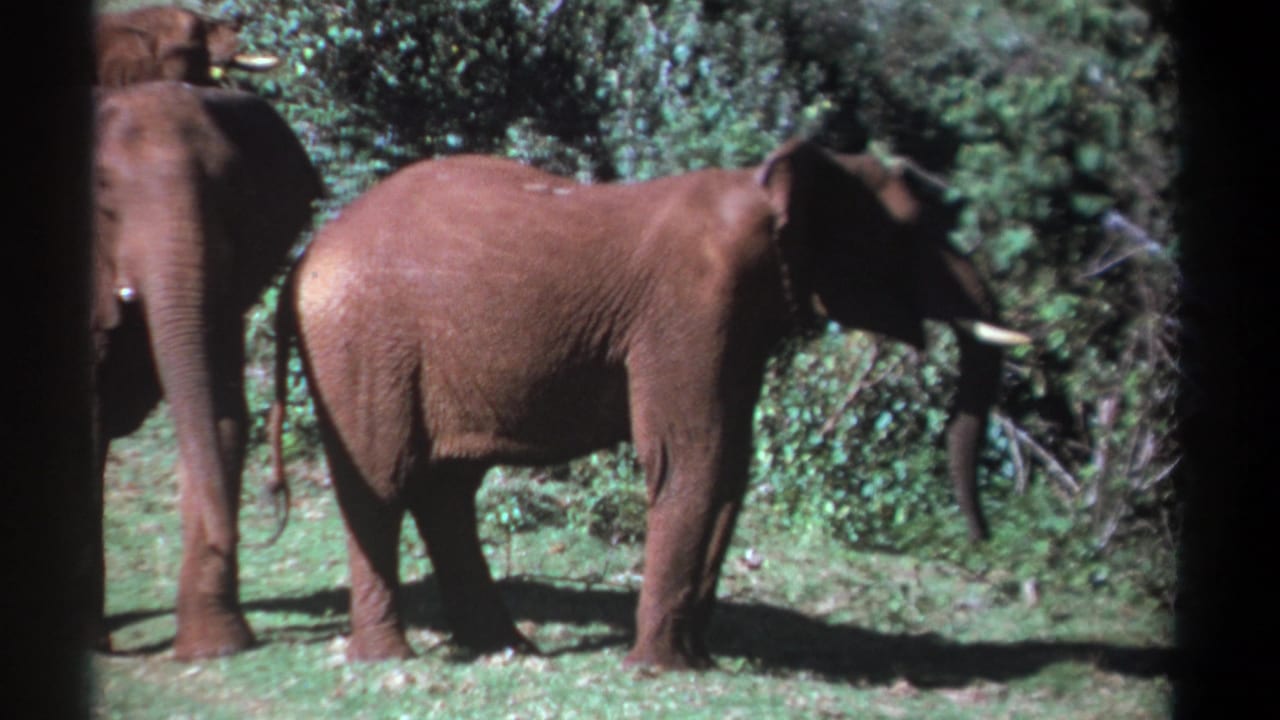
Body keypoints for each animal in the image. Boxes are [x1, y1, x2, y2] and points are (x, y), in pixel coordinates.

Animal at [268, 139, 1030, 669]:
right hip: (363, 343)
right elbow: (693, 456)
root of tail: (304, 256)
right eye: (906, 233)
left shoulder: (738, 321)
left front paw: (697, 661)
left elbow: (730, 465)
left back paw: (508, 648)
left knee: (447, 489)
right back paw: (389, 658)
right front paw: (659, 670)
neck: (760, 187)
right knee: (384, 482)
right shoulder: (691, 309)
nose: (985, 537)